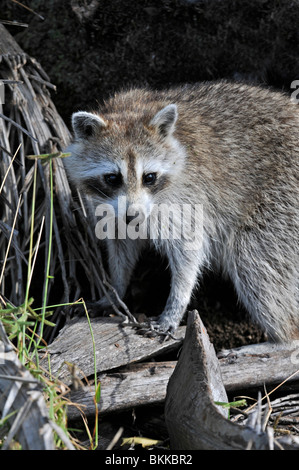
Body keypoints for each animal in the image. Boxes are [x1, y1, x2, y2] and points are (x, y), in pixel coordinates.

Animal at [64, 82, 299, 342]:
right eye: (112, 178)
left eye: (149, 177)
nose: (133, 217)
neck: (130, 110)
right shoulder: (108, 205)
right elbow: (121, 246)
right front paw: (115, 289)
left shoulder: (189, 197)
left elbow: (189, 249)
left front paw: (175, 306)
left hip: (282, 200)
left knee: (253, 259)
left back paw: (282, 340)